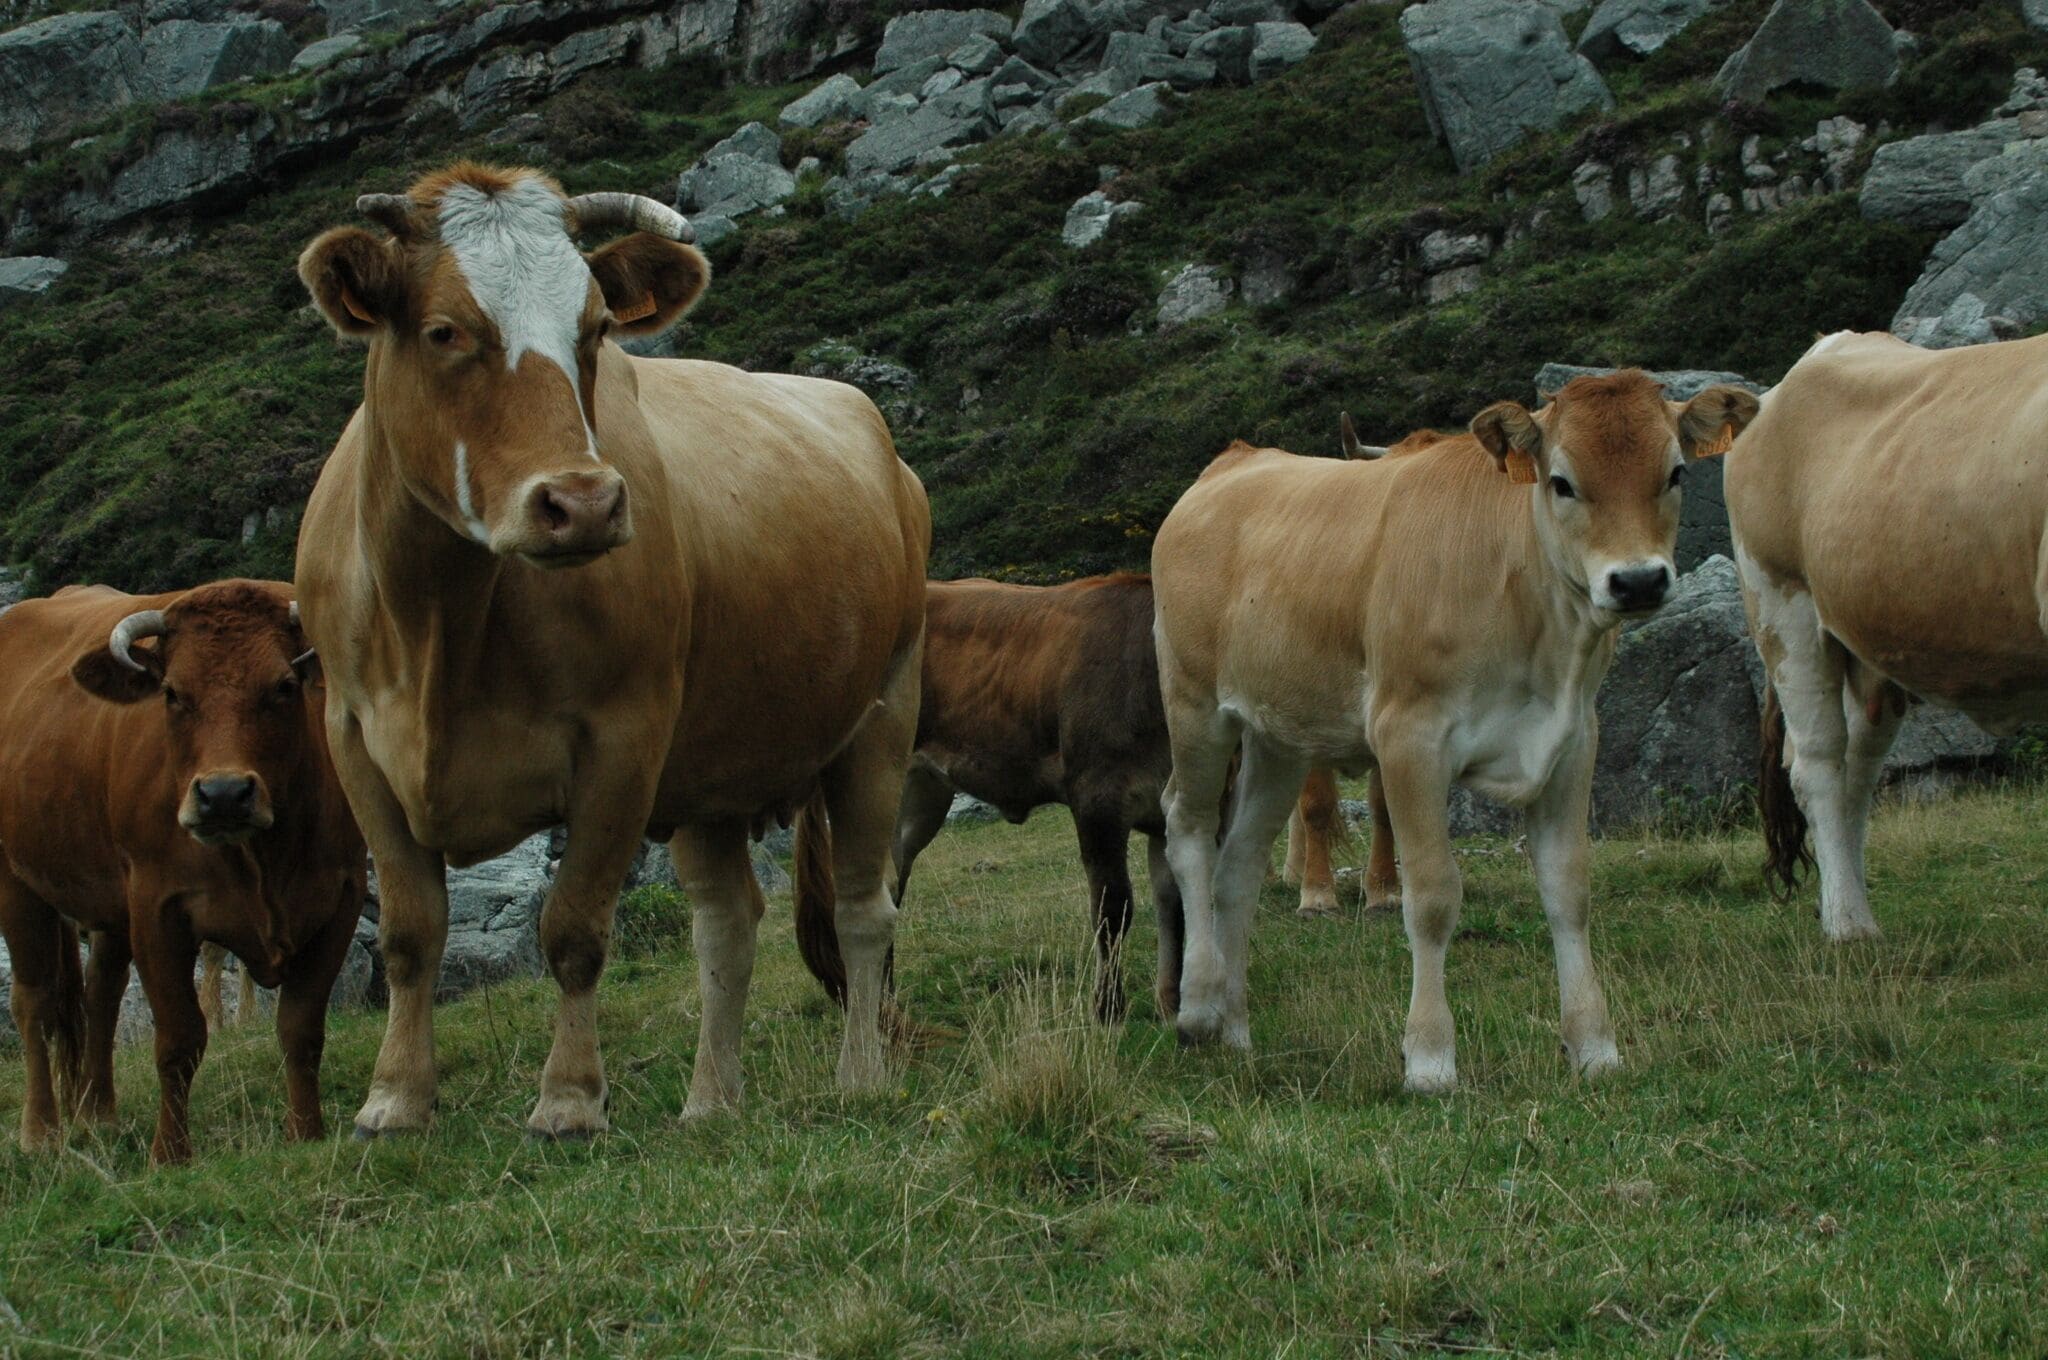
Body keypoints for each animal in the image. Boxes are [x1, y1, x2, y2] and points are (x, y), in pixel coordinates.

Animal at [0, 580, 365, 1163]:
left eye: (284, 686)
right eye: (172, 693)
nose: (223, 794)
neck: (262, 861)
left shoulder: (341, 898)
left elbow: (302, 1028)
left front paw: (305, 1131)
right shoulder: (157, 906)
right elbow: (179, 1038)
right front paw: (169, 1153)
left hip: (108, 907)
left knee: (100, 993)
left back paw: (98, 1112)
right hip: (17, 882)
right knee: (35, 1001)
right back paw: (41, 1132)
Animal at [293, 164, 928, 1139]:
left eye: (593, 330)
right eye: (444, 330)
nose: (584, 503)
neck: (441, 623)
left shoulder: (624, 739)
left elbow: (575, 930)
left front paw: (569, 1099)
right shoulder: (354, 740)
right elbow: (408, 933)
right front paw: (394, 1099)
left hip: (883, 712)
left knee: (862, 908)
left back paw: (859, 1075)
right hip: (714, 766)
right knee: (727, 922)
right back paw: (711, 1100)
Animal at [885, 574, 1355, 1025]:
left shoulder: (1178, 814)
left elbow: (1175, 903)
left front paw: (1171, 1003)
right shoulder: (1097, 796)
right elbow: (1113, 906)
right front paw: (1108, 1007)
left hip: (925, 792)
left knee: (892, 884)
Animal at [1151, 371, 1759, 1089]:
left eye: (1675, 473)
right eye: (1561, 481)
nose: (1637, 581)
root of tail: (1234, 461)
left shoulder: (1573, 741)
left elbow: (1569, 891)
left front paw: (1594, 1045)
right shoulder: (1409, 738)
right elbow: (1434, 896)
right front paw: (1430, 1057)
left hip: (1280, 736)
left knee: (1239, 864)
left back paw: (1235, 1027)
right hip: (1195, 705)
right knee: (1188, 828)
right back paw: (1196, 1009)